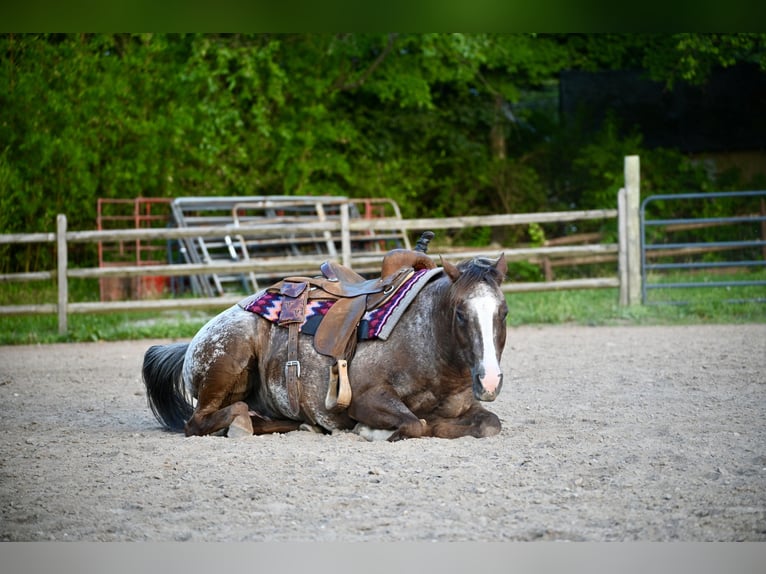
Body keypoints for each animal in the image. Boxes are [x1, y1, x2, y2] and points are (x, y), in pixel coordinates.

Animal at [142, 245, 508, 441]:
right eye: (460, 313)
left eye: (503, 312)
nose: (489, 380)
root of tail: (193, 342)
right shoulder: (366, 398)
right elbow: (415, 423)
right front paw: (373, 430)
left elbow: (490, 423)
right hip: (229, 359)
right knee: (199, 420)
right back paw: (240, 423)